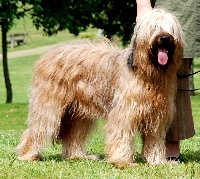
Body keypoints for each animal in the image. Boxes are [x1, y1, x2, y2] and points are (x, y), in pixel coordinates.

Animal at [16, 8, 184, 168]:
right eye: (153, 27)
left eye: (171, 28)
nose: (164, 38)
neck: (149, 74)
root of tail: (48, 54)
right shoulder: (124, 113)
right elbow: (121, 134)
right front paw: (122, 161)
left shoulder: (158, 116)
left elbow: (155, 140)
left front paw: (158, 161)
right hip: (49, 105)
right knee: (37, 128)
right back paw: (28, 155)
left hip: (78, 111)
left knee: (74, 134)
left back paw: (77, 156)